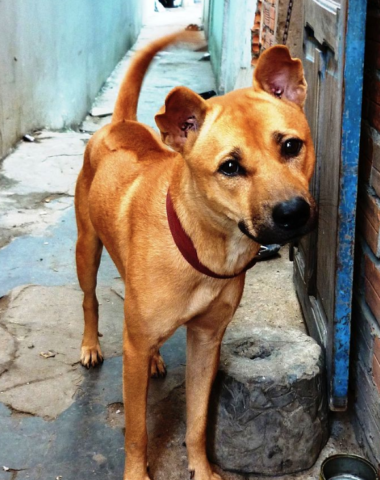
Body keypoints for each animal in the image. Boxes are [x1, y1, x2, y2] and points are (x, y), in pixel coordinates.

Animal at [75, 32, 316, 480]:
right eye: (230, 167)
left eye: (292, 146)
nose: (293, 213)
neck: (205, 246)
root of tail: (119, 123)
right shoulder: (133, 350)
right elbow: (137, 431)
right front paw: (136, 473)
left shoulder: (207, 340)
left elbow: (198, 421)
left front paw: (201, 469)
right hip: (86, 248)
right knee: (89, 299)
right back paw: (90, 346)